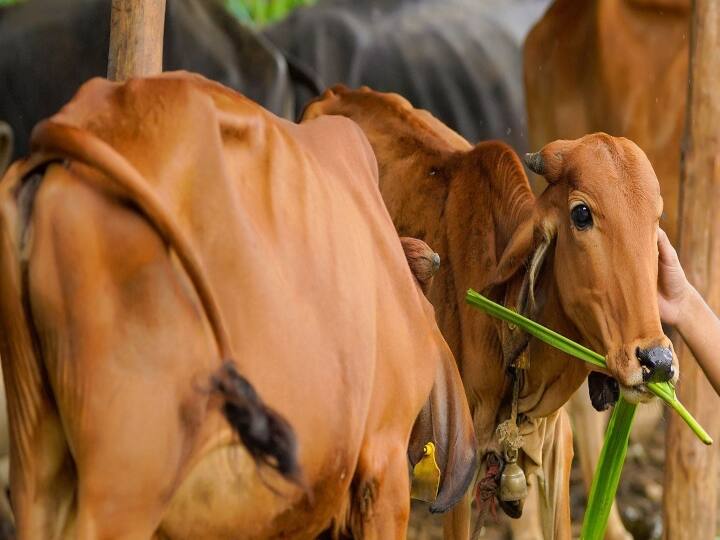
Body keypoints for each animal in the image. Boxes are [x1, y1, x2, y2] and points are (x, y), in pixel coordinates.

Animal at [302, 86, 676, 536]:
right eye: (581, 213)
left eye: (655, 217)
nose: (656, 360)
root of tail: (332, 93)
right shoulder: (458, 473)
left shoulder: (556, 451)